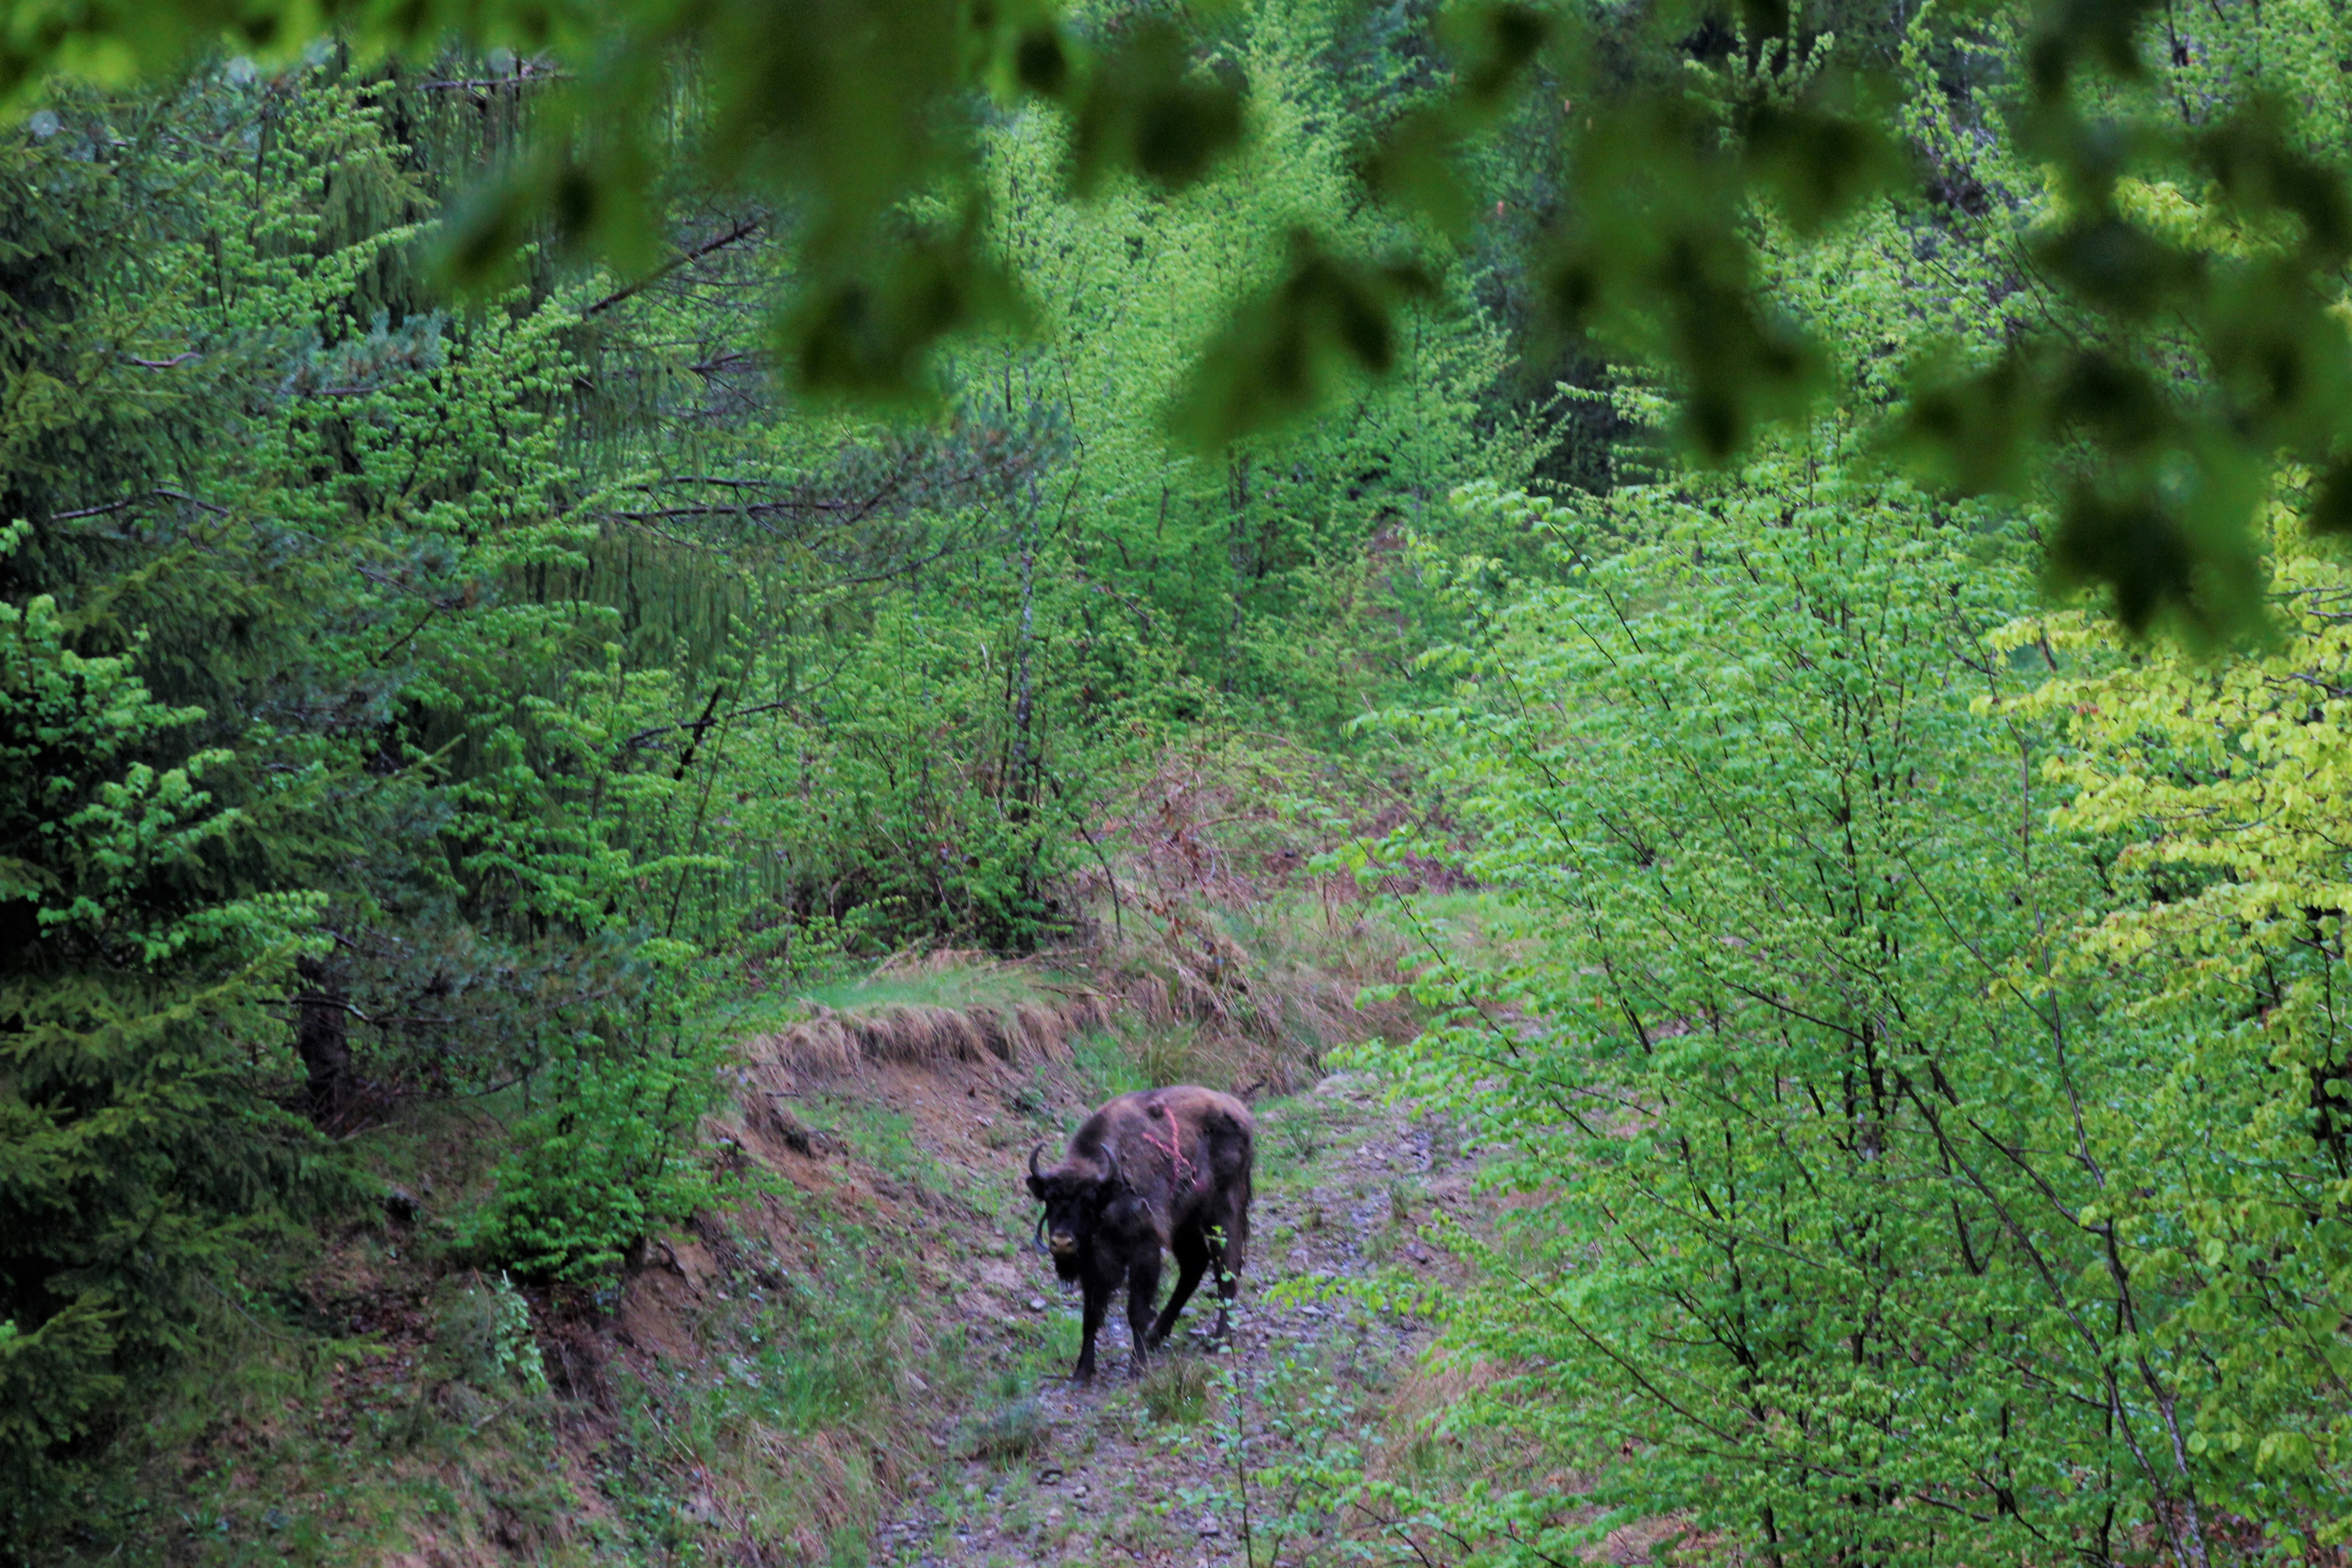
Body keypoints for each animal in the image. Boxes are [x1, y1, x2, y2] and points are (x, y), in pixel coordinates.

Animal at [1025, 1084, 1255, 1379]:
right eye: (1050, 1199)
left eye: (1088, 1200)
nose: (1062, 1242)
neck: (1110, 1192)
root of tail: (1239, 1112)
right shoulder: (1094, 1263)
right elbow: (1091, 1316)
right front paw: (1082, 1373)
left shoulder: (1144, 1250)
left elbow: (1136, 1311)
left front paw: (1138, 1365)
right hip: (1185, 1223)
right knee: (1195, 1265)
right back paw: (1157, 1336)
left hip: (1223, 1213)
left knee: (1226, 1269)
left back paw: (1218, 1341)